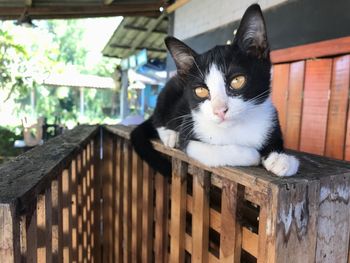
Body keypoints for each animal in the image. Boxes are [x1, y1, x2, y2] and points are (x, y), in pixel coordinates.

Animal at [130, 3, 300, 177]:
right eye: (201, 91)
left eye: (237, 81)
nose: (219, 110)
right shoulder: (190, 136)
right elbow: (215, 151)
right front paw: (252, 154)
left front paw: (281, 158)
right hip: (169, 91)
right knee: (157, 118)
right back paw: (170, 134)